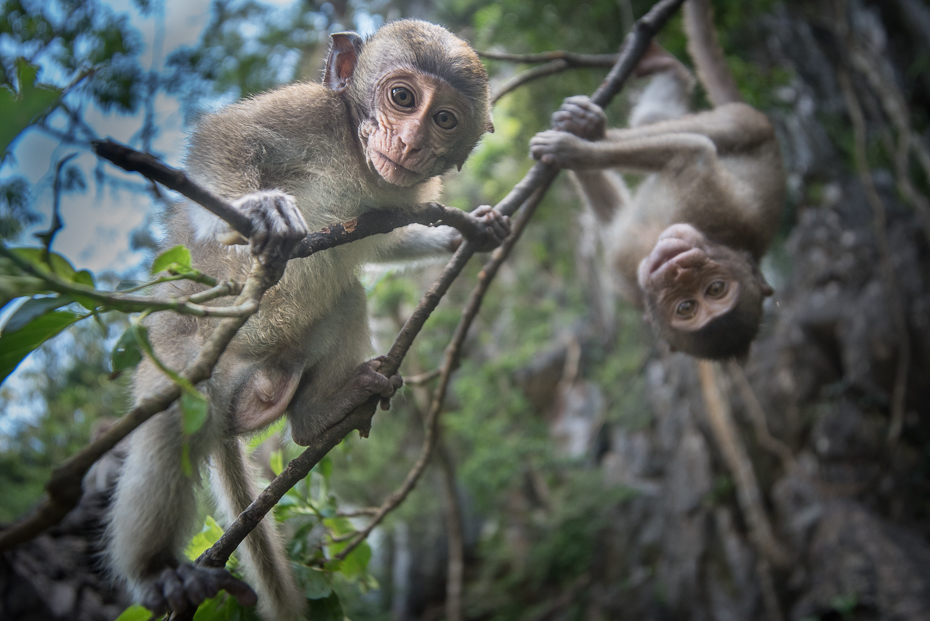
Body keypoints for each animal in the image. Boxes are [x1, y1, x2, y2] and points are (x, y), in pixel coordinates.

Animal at [107, 20, 508, 620]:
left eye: (445, 119)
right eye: (402, 97)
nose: (410, 143)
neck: (354, 153)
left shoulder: (401, 190)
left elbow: (386, 236)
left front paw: (474, 231)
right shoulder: (308, 111)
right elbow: (225, 135)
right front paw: (259, 210)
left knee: (347, 295)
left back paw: (319, 415)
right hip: (193, 346)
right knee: (177, 404)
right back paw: (158, 570)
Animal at [528, 0, 784, 358]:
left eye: (712, 290)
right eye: (691, 304)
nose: (676, 270)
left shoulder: (701, 202)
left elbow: (692, 153)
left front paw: (572, 151)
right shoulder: (629, 280)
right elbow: (613, 214)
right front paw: (581, 137)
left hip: (750, 123)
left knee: (702, 132)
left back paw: (597, 130)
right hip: (746, 121)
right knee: (664, 123)